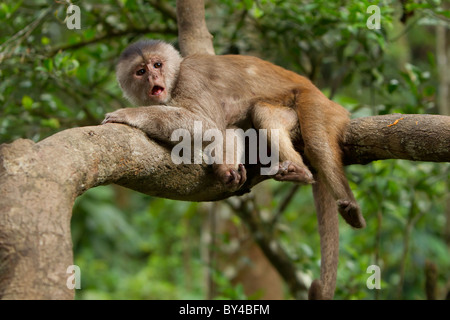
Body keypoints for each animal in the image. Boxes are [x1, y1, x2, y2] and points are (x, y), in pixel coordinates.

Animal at [103, 40, 366, 300]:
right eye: (141, 71)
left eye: (157, 64)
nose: (153, 77)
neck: (175, 79)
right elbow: (222, 130)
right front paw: (226, 169)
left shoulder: (191, 77)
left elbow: (205, 124)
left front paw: (129, 114)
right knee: (257, 116)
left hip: (320, 105)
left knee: (314, 141)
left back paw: (317, 182)